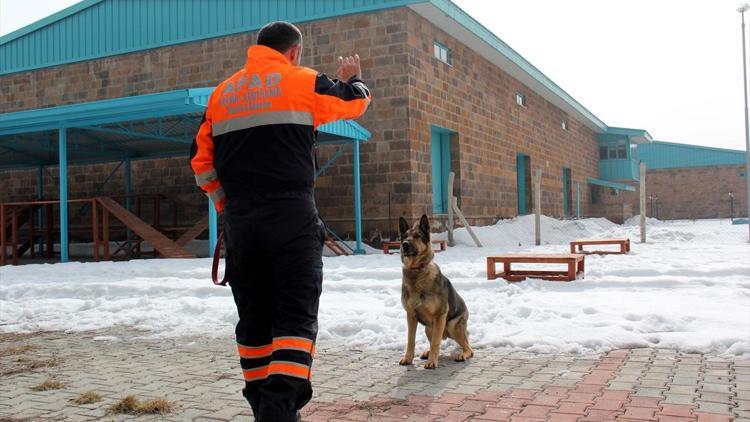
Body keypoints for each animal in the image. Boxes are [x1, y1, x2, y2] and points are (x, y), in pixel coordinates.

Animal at [396, 216, 472, 368]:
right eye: (405, 236)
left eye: (417, 236)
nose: (405, 244)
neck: (416, 271)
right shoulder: (410, 316)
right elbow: (410, 340)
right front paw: (408, 358)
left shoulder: (440, 316)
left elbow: (436, 343)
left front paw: (432, 362)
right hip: (428, 328)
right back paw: (428, 353)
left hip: (452, 326)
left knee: (469, 349)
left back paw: (462, 354)